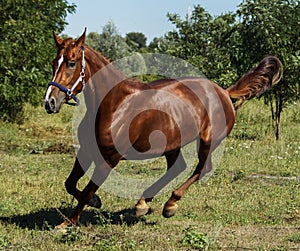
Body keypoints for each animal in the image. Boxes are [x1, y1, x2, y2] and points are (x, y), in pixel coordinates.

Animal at [43, 29, 282, 227]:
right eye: (54, 62)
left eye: (71, 63)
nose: (50, 102)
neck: (115, 105)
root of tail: (224, 91)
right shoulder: (86, 151)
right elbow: (70, 184)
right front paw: (95, 201)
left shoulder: (109, 159)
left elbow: (85, 190)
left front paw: (67, 223)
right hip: (172, 144)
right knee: (177, 168)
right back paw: (143, 204)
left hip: (208, 141)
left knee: (201, 168)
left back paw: (170, 204)